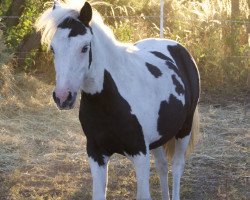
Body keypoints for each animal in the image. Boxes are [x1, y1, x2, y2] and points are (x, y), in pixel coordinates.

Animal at [35, 0, 200, 199]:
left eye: (84, 47)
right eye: (53, 49)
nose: (62, 97)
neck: (111, 100)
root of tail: (179, 48)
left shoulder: (140, 154)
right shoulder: (96, 153)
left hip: (184, 129)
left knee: (176, 167)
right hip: (159, 137)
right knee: (162, 166)